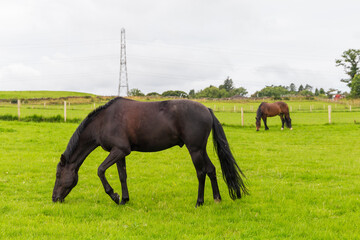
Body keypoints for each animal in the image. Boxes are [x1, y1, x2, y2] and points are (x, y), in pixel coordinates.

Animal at [52, 97, 248, 206]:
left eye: (58, 175)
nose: (54, 198)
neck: (103, 121)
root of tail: (207, 109)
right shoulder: (120, 153)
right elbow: (122, 176)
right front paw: (124, 200)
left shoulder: (119, 150)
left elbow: (100, 170)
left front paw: (114, 196)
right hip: (201, 149)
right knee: (211, 170)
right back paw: (217, 199)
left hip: (195, 150)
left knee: (201, 173)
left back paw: (199, 202)